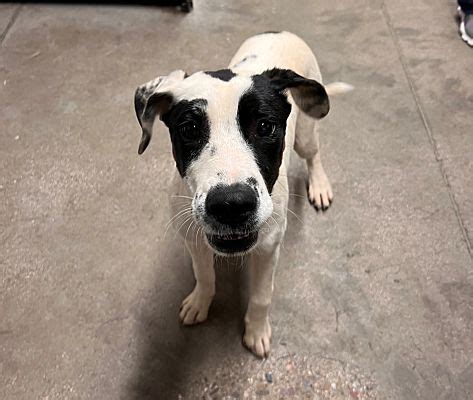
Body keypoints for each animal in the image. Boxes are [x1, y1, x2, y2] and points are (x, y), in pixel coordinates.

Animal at [133, 30, 350, 356]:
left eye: (265, 126)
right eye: (189, 128)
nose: (231, 206)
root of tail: (281, 32)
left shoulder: (269, 247)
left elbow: (261, 297)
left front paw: (256, 331)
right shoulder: (193, 239)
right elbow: (204, 276)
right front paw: (199, 302)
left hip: (306, 133)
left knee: (314, 153)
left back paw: (320, 185)